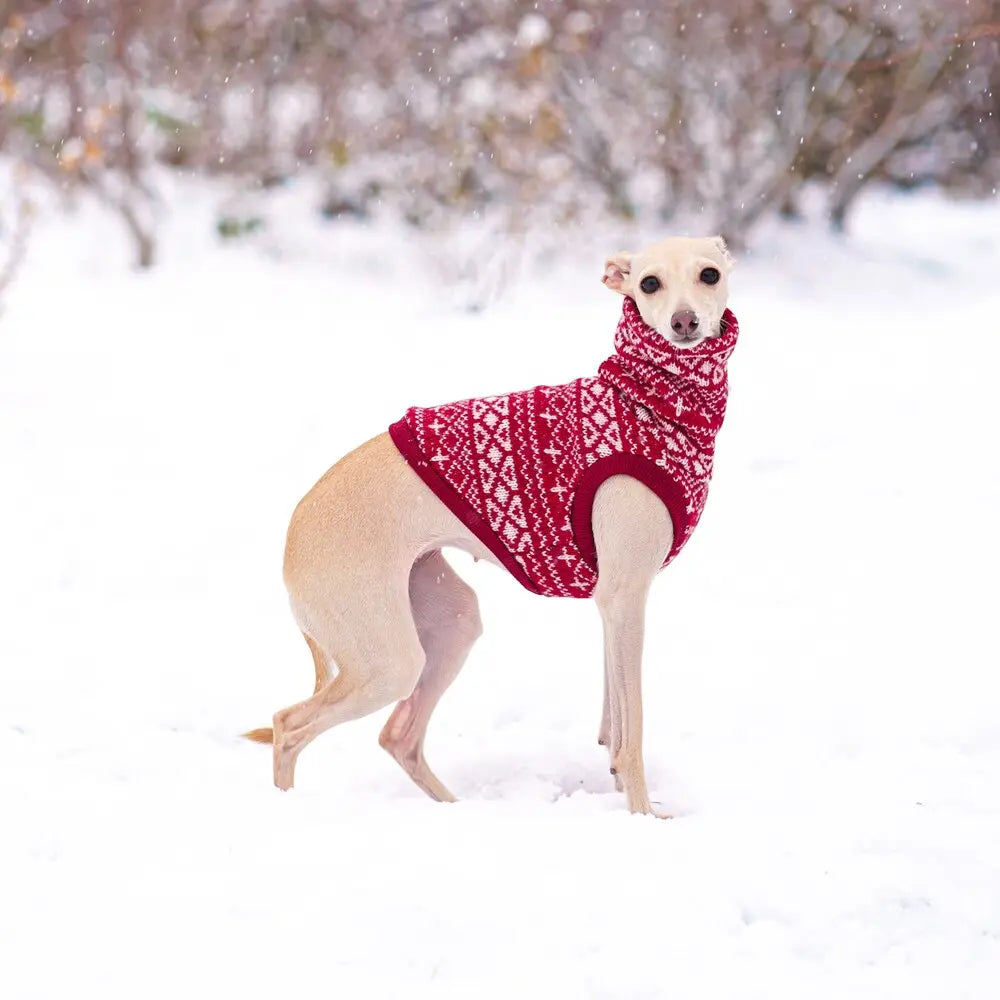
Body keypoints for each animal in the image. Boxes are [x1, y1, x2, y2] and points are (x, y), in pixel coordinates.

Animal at [246, 238, 740, 816]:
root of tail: (292, 533)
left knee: (397, 737)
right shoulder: (625, 595)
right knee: (288, 725)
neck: (650, 402)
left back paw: (454, 809)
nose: (684, 323)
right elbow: (632, 730)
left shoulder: (612, 605)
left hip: (448, 621)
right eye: (649, 283)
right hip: (387, 659)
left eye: (709, 274)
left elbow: (612, 725)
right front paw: (643, 817)